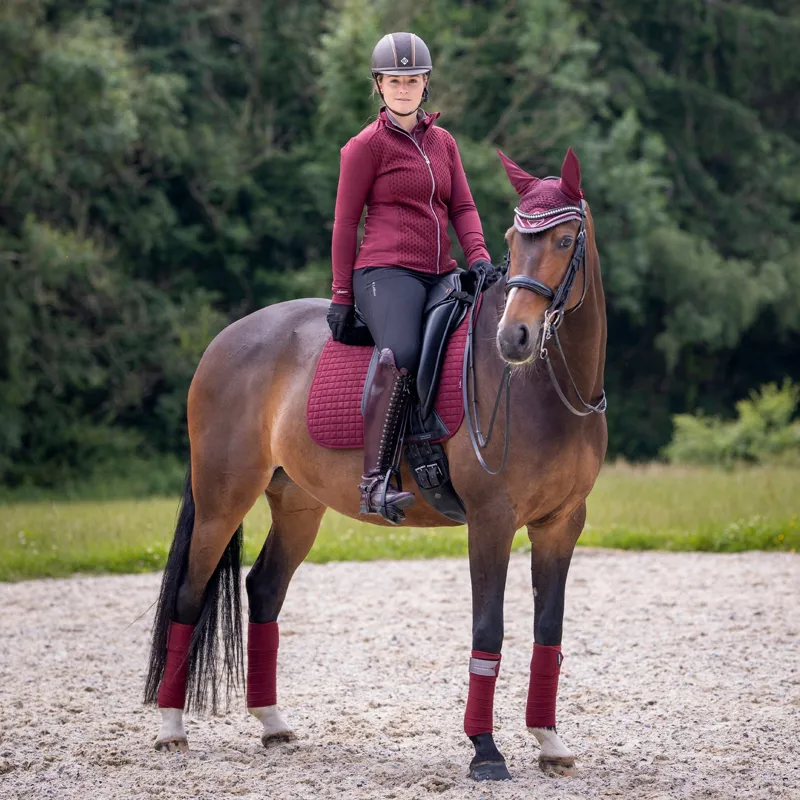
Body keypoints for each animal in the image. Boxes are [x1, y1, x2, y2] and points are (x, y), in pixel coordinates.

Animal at [144, 147, 608, 780]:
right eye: (516, 240)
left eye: (564, 240)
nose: (515, 336)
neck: (550, 386)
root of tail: (225, 339)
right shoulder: (492, 521)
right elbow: (488, 630)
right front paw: (485, 750)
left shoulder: (561, 524)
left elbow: (548, 631)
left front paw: (549, 741)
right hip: (222, 500)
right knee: (189, 594)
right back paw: (172, 728)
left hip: (298, 505)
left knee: (264, 588)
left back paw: (273, 723)